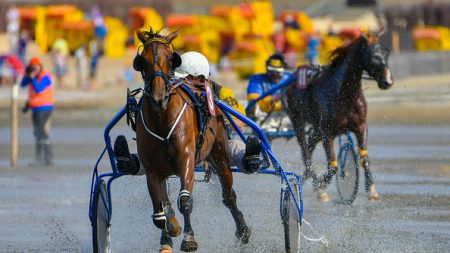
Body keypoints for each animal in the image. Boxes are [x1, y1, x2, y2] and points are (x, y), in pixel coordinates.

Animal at [134, 29, 251, 251]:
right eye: (142, 61)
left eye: (170, 59)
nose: (159, 97)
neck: (162, 119)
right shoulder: (152, 169)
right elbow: (159, 213)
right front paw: (170, 230)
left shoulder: (186, 158)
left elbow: (185, 200)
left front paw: (189, 238)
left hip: (218, 152)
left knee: (229, 195)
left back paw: (243, 230)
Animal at [284, 32, 394, 202]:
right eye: (373, 56)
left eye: (386, 53)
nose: (387, 81)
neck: (342, 92)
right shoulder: (327, 133)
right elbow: (334, 166)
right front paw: (321, 186)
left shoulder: (361, 126)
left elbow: (364, 158)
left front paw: (372, 189)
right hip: (298, 121)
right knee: (305, 151)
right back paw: (314, 181)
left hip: (317, 130)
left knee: (310, 146)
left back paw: (307, 176)